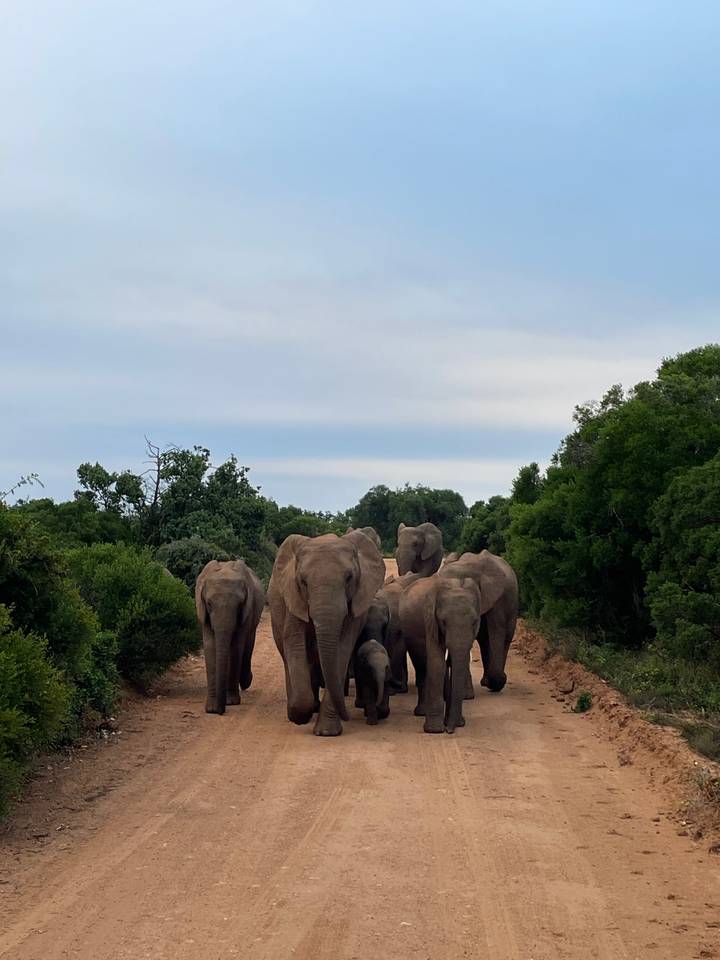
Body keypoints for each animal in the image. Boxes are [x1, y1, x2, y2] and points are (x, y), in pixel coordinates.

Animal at [195, 559, 265, 715]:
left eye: (239, 605)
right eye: (209, 603)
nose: (221, 712)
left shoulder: (246, 610)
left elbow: (236, 647)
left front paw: (231, 702)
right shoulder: (203, 612)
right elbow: (210, 646)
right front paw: (212, 709)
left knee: (248, 644)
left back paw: (246, 682)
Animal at [268, 530, 386, 736]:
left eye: (349, 578)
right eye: (303, 581)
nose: (348, 715)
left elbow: (342, 649)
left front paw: (327, 732)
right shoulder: (294, 598)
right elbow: (295, 643)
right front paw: (299, 716)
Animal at [398, 576, 482, 733]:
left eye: (475, 622)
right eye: (443, 621)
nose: (450, 730)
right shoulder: (430, 620)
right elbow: (437, 664)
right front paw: (435, 730)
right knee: (422, 665)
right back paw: (422, 712)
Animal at [440, 550, 518, 694]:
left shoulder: (497, 598)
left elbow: (497, 630)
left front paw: (496, 683)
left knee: (504, 638)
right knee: (484, 641)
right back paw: (486, 682)